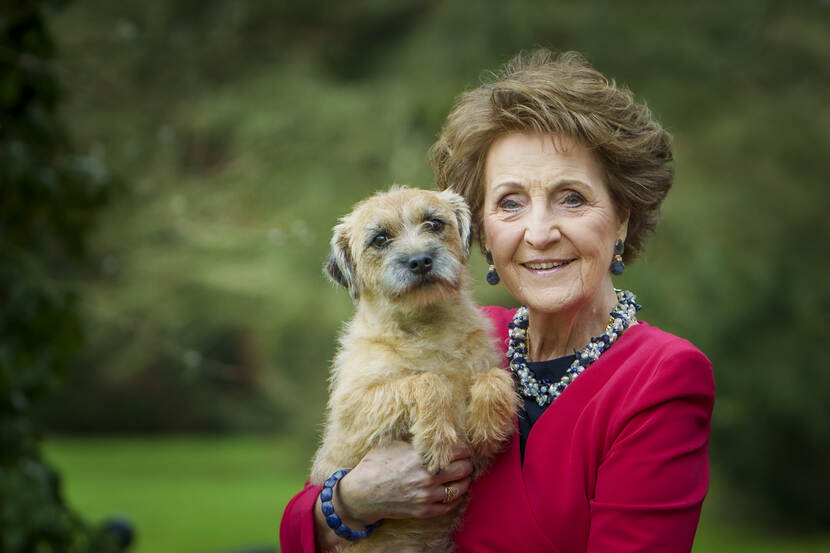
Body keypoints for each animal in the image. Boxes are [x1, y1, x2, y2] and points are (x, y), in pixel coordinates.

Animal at [312, 187, 520, 552]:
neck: (428, 326)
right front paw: (436, 439)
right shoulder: (351, 413)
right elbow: (428, 380)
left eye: (434, 223)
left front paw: (487, 425)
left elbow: (494, 376)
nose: (421, 260)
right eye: (380, 239)